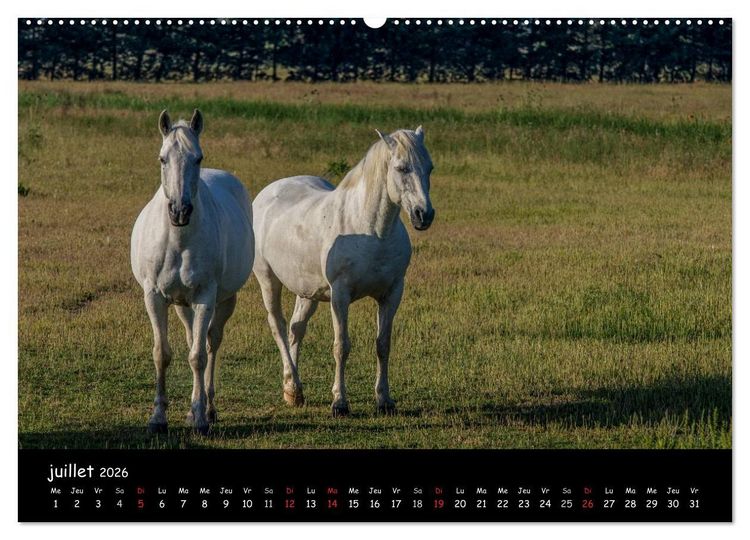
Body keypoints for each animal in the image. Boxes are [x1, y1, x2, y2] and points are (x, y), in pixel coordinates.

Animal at [130, 109, 254, 434]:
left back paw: (208, 409)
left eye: (198, 158)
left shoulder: (204, 298)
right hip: (181, 305)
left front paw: (199, 418)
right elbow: (162, 354)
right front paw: (158, 417)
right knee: (191, 339)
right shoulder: (154, 297)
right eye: (162, 158)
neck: (177, 240)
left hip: (223, 301)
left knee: (211, 345)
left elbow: (198, 357)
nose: (180, 211)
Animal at [252, 127, 435, 417]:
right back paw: (293, 384)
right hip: (268, 281)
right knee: (278, 327)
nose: (423, 215)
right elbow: (341, 347)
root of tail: (268, 193)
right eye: (401, 168)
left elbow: (383, 344)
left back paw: (293, 391)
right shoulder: (340, 295)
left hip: (308, 292)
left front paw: (384, 400)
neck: (371, 231)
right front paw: (339, 402)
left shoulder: (392, 293)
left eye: (430, 168)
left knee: (295, 329)